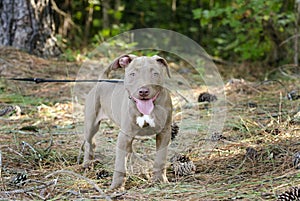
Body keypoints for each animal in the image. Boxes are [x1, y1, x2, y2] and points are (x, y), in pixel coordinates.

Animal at [83, 54, 172, 189]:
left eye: (155, 74)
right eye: (132, 74)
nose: (143, 91)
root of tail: (102, 81)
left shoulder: (164, 132)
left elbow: (161, 158)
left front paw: (159, 180)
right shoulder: (124, 135)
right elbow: (120, 163)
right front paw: (116, 187)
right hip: (91, 124)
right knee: (90, 142)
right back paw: (87, 164)